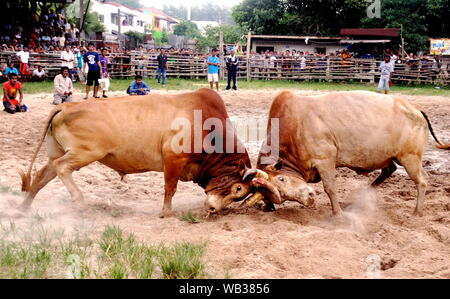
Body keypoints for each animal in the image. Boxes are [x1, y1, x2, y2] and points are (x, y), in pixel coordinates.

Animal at [20, 88, 253, 217]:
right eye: (238, 188)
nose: (214, 209)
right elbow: (170, 188)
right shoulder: (173, 159)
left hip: (57, 152)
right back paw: (78, 199)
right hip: (85, 153)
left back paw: (24, 208)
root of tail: (67, 106)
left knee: (42, 176)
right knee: (62, 167)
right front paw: (167, 213)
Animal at [246, 91, 450, 218]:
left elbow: (330, 188)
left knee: (421, 181)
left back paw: (417, 212)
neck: (294, 125)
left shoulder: (325, 159)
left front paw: (337, 214)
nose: (309, 199)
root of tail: (415, 109)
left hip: (410, 157)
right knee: (389, 170)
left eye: (282, 179)